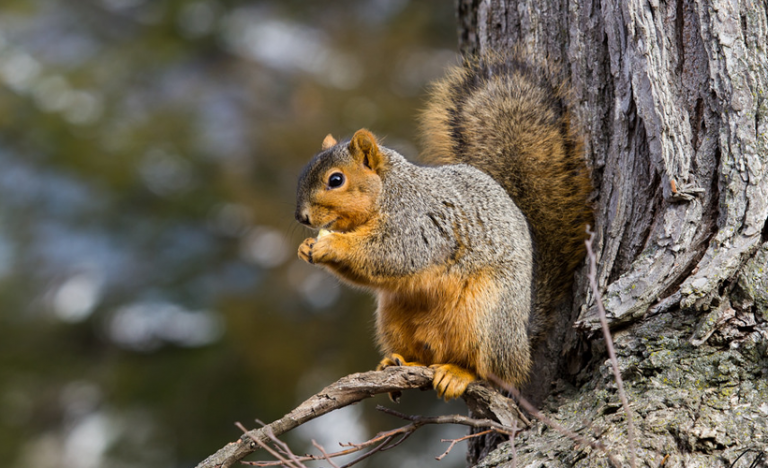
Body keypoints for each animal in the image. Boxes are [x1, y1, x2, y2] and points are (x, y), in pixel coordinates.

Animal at [296, 54, 592, 398]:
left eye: (336, 180)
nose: (301, 217)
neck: (389, 191)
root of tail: (521, 336)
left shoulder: (417, 224)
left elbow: (391, 255)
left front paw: (330, 244)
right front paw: (306, 247)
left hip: (486, 316)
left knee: (495, 373)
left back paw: (460, 374)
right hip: (394, 317)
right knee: (426, 354)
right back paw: (400, 361)